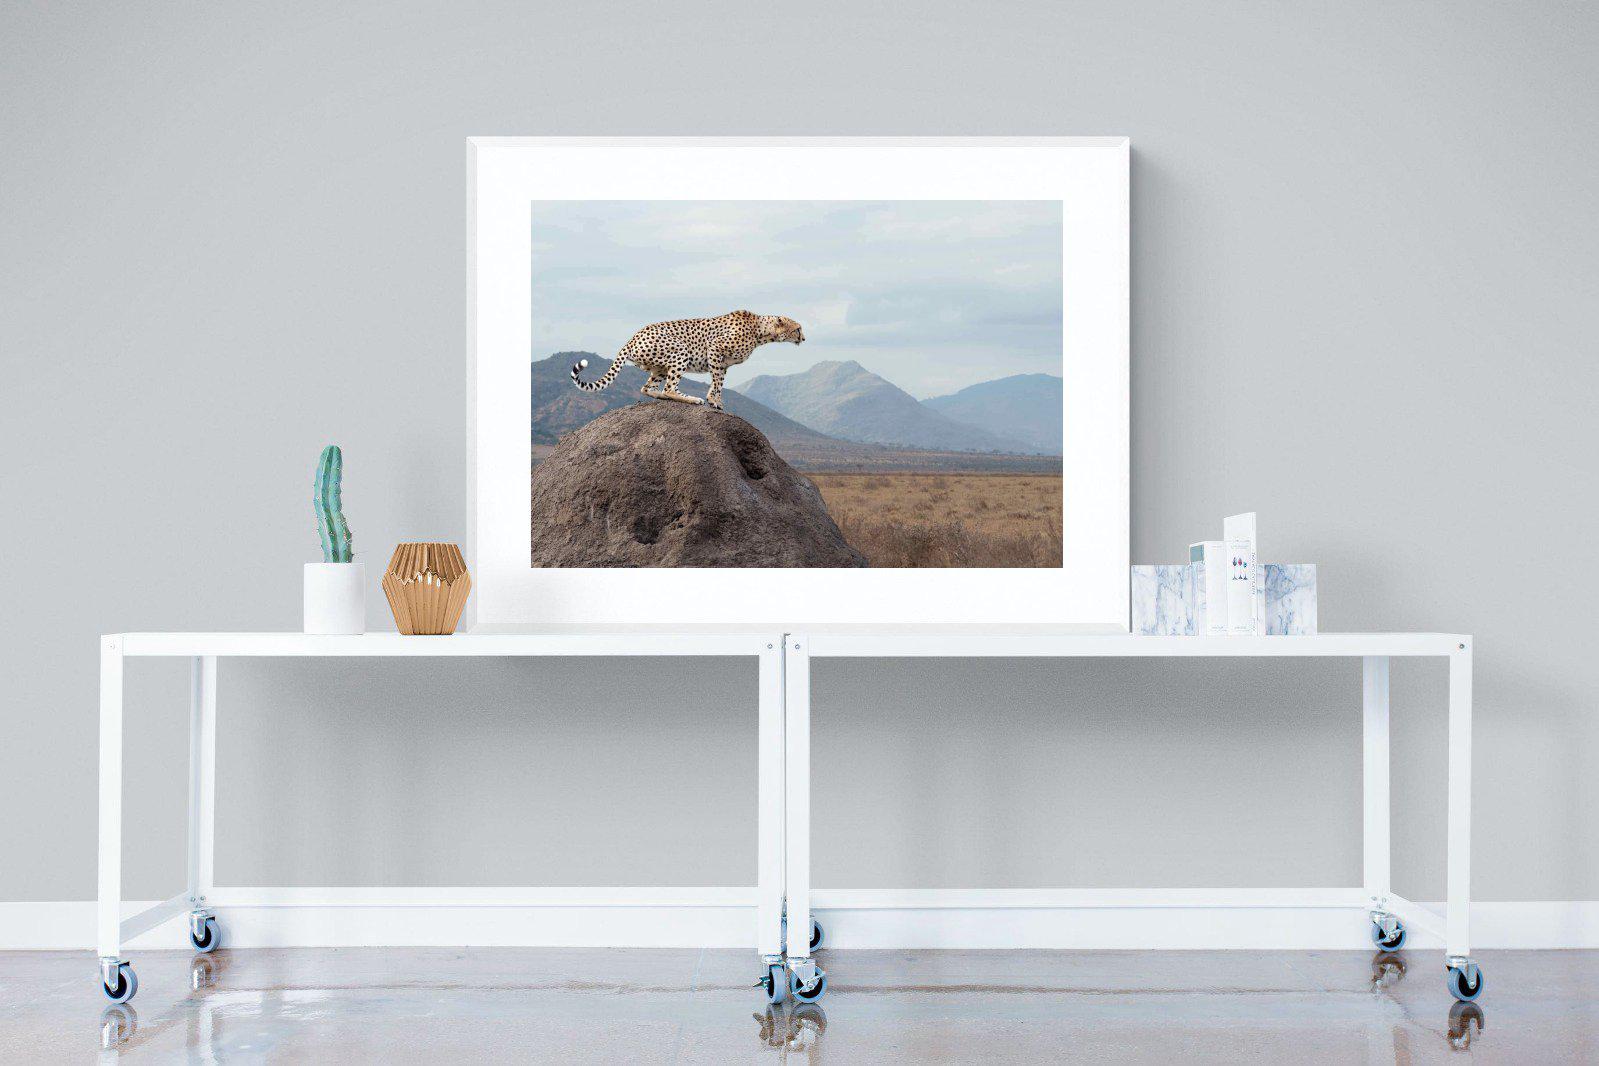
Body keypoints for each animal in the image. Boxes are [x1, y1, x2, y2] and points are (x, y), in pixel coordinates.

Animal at [570, 310, 805, 410]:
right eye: (798, 328)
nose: (804, 338)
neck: (760, 331)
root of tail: (633, 336)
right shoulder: (715, 348)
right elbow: (717, 382)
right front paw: (713, 401)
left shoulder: (723, 363)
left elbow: (718, 382)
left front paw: (716, 400)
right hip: (680, 350)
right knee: (669, 388)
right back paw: (691, 399)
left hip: (659, 367)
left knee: (647, 388)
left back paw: (662, 397)